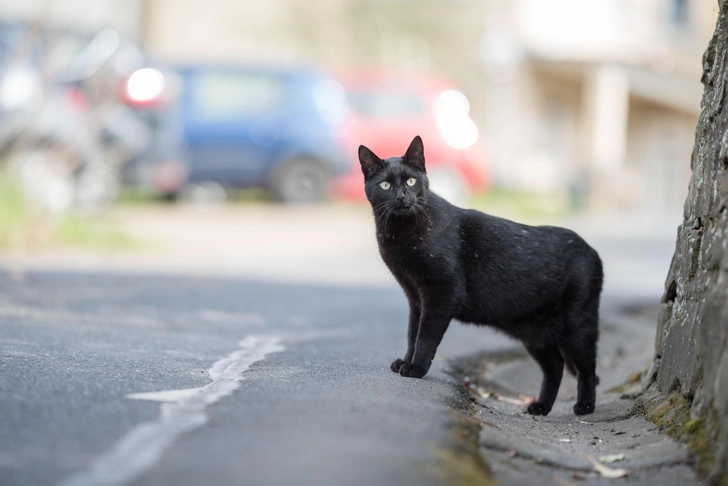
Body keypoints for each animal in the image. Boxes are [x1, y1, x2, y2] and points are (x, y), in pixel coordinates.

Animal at [358, 135, 604, 416]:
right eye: (385, 185)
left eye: (411, 181)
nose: (401, 197)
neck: (399, 233)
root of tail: (592, 250)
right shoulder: (415, 296)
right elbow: (412, 334)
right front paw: (406, 361)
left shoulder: (442, 291)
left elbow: (426, 336)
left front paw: (416, 368)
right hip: (536, 335)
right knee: (555, 368)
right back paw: (541, 407)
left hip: (578, 326)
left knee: (587, 368)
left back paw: (585, 405)